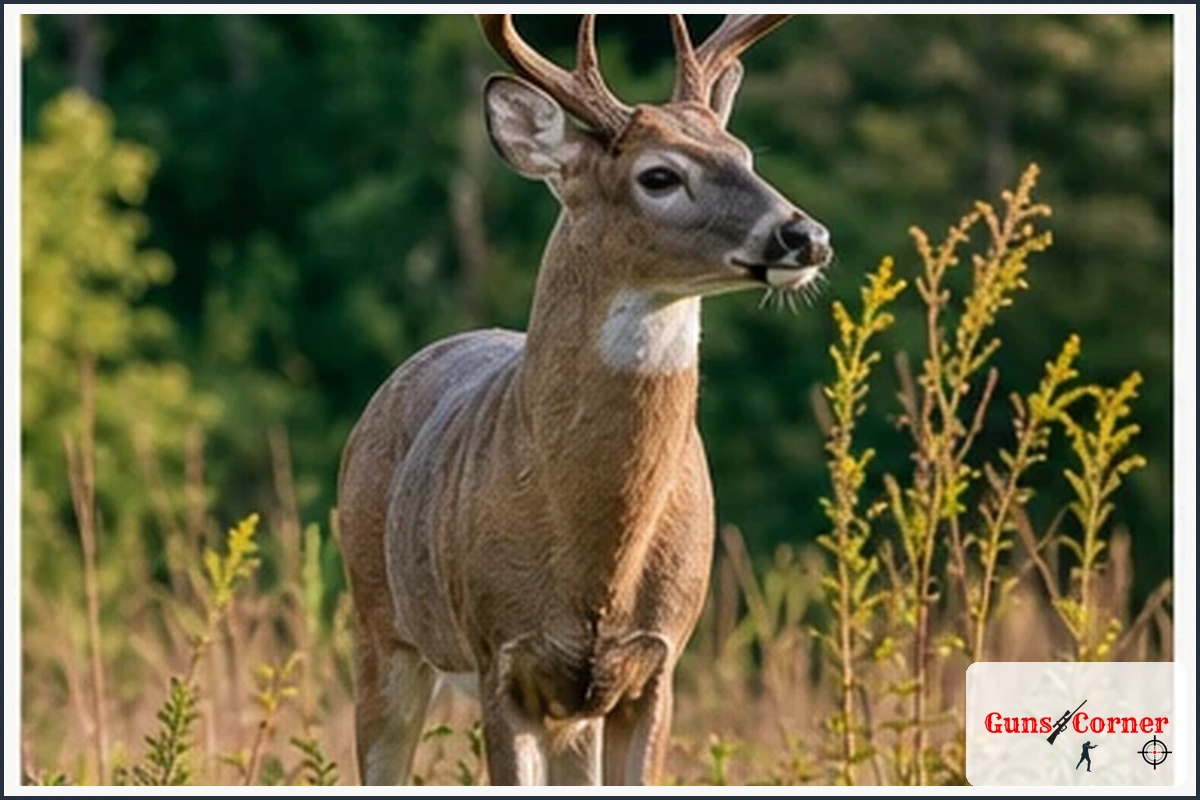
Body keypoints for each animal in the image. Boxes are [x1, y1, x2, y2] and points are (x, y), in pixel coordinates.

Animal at [337, 13, 831, 786]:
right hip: (380, 626)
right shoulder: (502, 656)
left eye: (745, 154)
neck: (597, 560)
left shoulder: (657, 660)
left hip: (571, 711)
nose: (804, 234)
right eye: (659, 175)